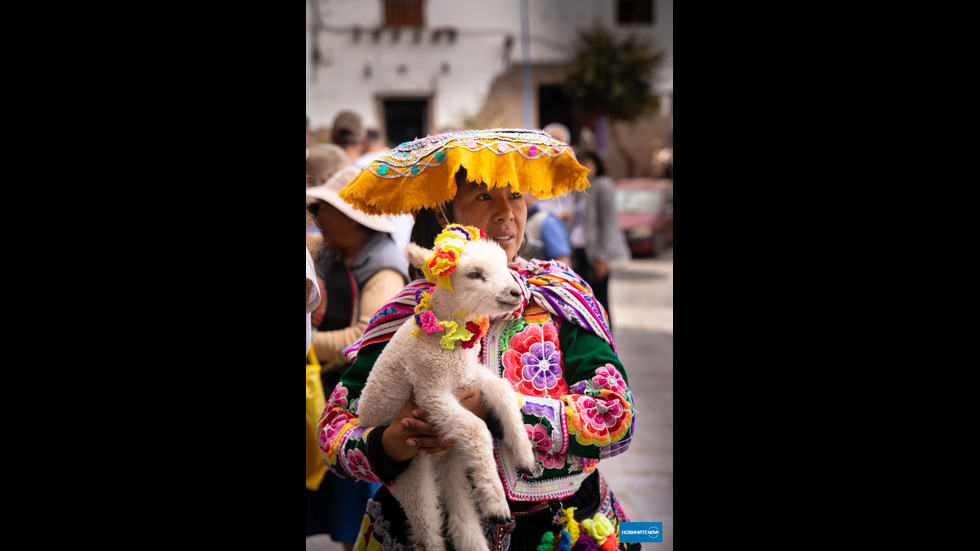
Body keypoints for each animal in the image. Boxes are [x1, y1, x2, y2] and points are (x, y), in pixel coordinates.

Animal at [356, 224, 536, 551]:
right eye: (475, 274)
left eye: (504, 264)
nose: (515, 293)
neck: (447, 342)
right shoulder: (430, 390)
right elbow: (477, 428)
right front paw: (498, 505)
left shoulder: (466, 373)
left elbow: (502, 389)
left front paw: (524, 456)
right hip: (412, 475)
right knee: (428, 531)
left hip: (452, 465)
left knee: (460, 519)